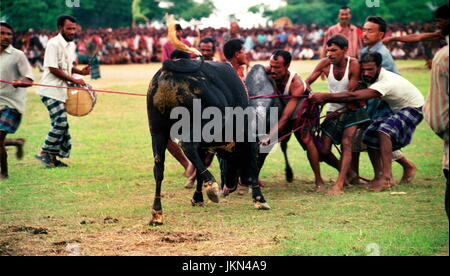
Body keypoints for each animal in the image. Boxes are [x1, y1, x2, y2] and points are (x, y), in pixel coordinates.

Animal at [146, 59, 268, 225]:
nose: (229, 186)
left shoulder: (203, 147)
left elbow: (199, 167)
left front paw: (197, 198)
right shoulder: (248, 140)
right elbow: (253, 167)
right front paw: (260, 200)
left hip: (157, 131)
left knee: (159, 169)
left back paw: (157, 213)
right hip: (211, 122)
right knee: (186, 144)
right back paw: (212, 186)